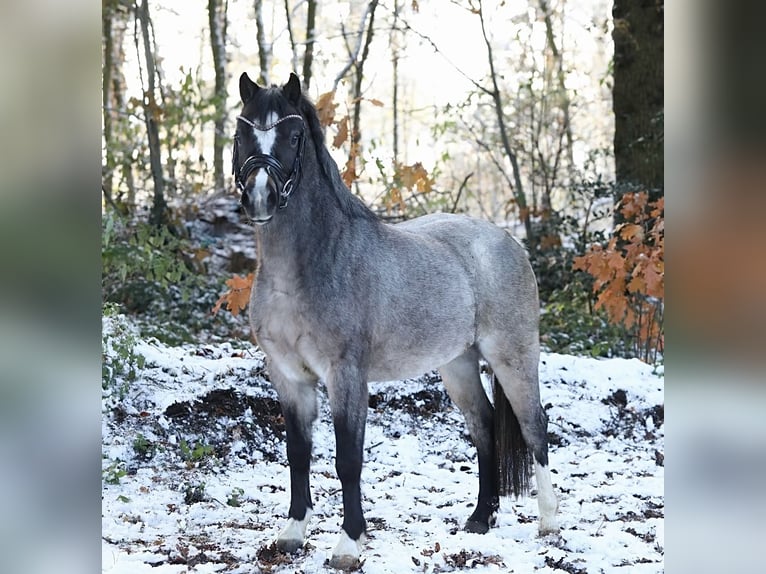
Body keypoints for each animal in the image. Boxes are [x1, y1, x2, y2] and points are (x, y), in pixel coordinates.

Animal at [231, 73, 560, 572]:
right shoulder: (289, 378)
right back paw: (480, 519)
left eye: (293, 136)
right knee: (484, 425)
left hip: (513, 356)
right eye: (241, 133)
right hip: (458, 364)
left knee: (533, 425)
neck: (308, 268)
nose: (260, 196)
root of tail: (507, 241)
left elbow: (348, 459)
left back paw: (548, 523)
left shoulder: (346, 377)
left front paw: (348, 544)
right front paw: (292, 534)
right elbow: (298, 454)